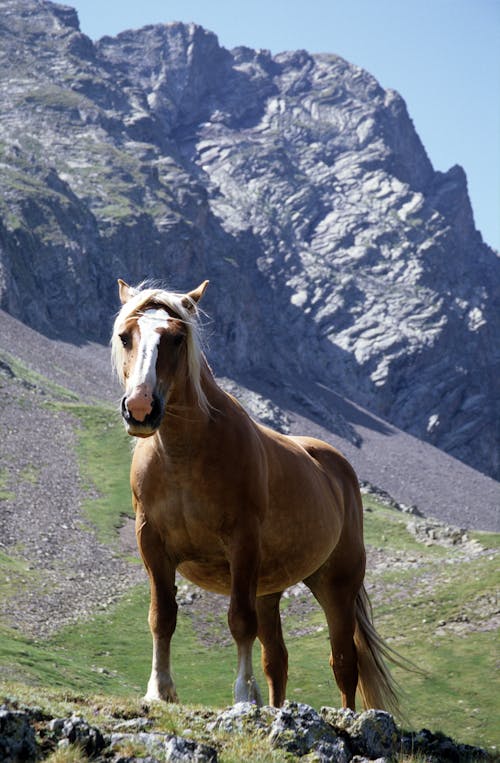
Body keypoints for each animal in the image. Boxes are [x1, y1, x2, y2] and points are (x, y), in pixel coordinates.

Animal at [110, 280, 398, 716]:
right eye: (126, 336)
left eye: (176, 339)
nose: (141, 408)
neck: (184, 455)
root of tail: (339, 469)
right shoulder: (153, 544)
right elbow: (162, 617)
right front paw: (160, 690)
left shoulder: (242, 544)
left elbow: (239, 622)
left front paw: (244, 696)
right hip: (269, 590)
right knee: (277, 661)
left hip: (336, 585)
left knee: (344, 663)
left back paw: (347, 714)